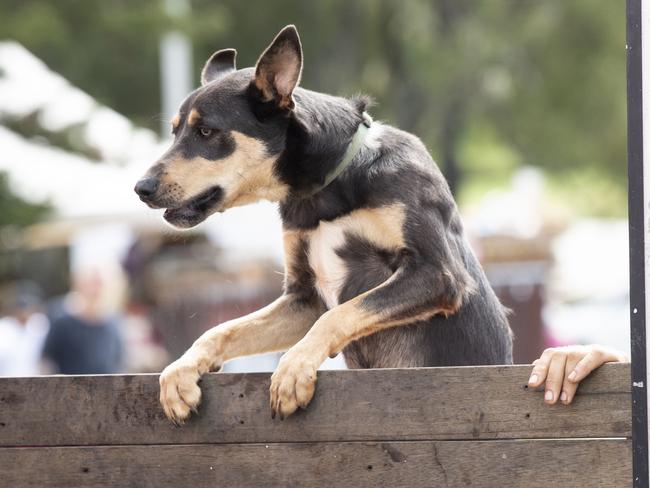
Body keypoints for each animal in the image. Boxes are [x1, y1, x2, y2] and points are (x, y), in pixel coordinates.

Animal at [135, 25, 512, 424]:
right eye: (175, 131)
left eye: (206, 131)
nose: (141, 188)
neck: (327, 186)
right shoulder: (303, 298)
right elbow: (222, 330)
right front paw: (180, 371)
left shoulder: (436, 273)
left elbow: (340, 314)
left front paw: (293, 369)